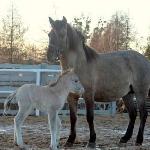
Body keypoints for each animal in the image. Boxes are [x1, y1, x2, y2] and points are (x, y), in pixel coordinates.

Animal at [47, 16, 150, 148]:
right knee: (132, 114)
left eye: (62, 34)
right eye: (49, 34)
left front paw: (92, 140)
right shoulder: (71, 97)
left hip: (140, 93)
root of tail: (144, 60)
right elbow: (73, 118)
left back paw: (139, 140)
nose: (49, 56)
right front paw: (70, 140)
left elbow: (90, 117)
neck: (78, 66)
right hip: (128, 94)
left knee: (143, 114)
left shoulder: (88, 95)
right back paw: (124, 138)